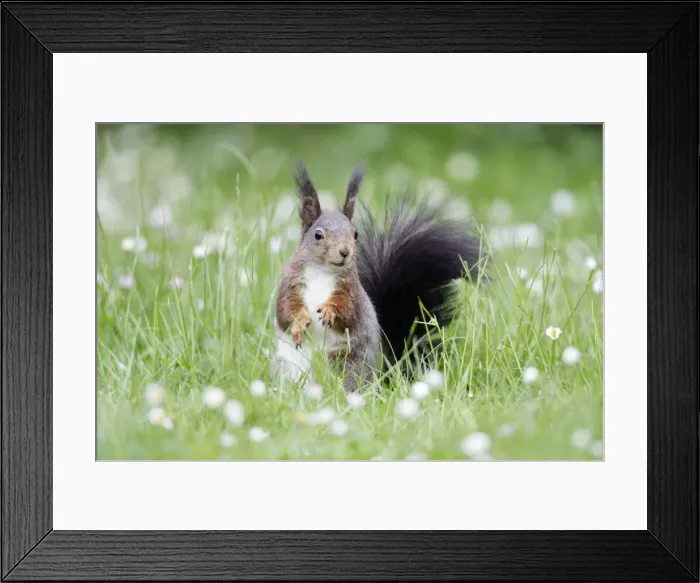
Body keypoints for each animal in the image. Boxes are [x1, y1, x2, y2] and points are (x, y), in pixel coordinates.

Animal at [272, 161, 485, 392]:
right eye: (318, 235)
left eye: (355, 234)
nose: (345, 252)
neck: (322, 271)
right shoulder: (290, 283)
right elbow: (285, 310)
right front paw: (299, 322)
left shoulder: (351, 291)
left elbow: (348, 311)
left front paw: (330, 311)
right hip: (290, 367)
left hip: (348, 361)